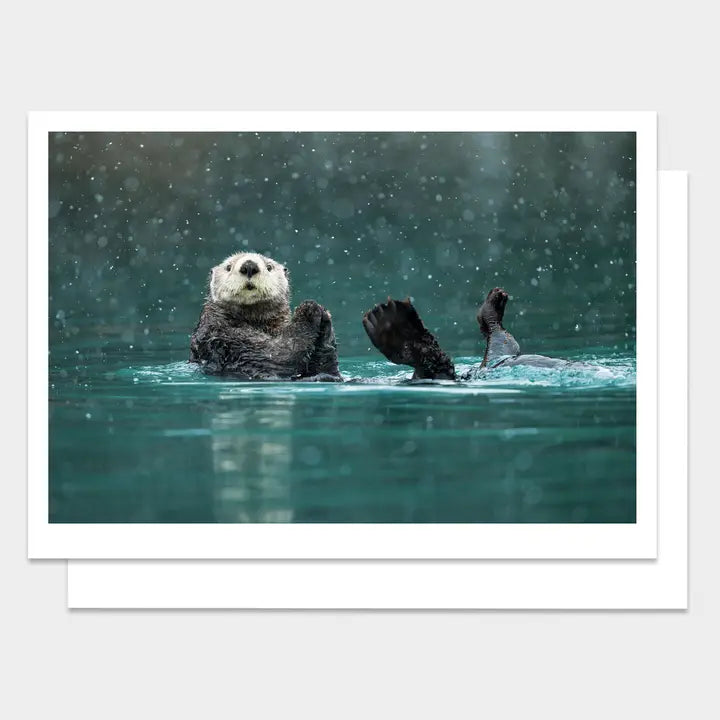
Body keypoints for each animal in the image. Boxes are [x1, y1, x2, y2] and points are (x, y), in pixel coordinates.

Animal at [189, 251, 341, 381]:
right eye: (228, 267)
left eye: (269, 267)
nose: (249, 266)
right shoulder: (223, 336)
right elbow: (279, 354)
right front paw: (309, 308)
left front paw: (325, 317)